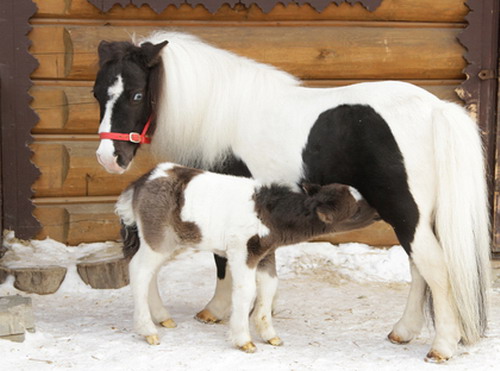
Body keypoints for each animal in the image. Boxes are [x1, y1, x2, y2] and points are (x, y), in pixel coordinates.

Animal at [116, 163, 376, 352]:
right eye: (356, 209)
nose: (377, 211)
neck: (269, 215)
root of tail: (141, 181)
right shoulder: (242, 251)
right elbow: (246, 290)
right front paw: (244, 340)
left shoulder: (266, 253)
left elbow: (269, 287)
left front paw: (270, 335)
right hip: (157, 237)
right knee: (138, 270)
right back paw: (148, 330)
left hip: (168, 242)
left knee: (150, 273)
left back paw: (163, 318)